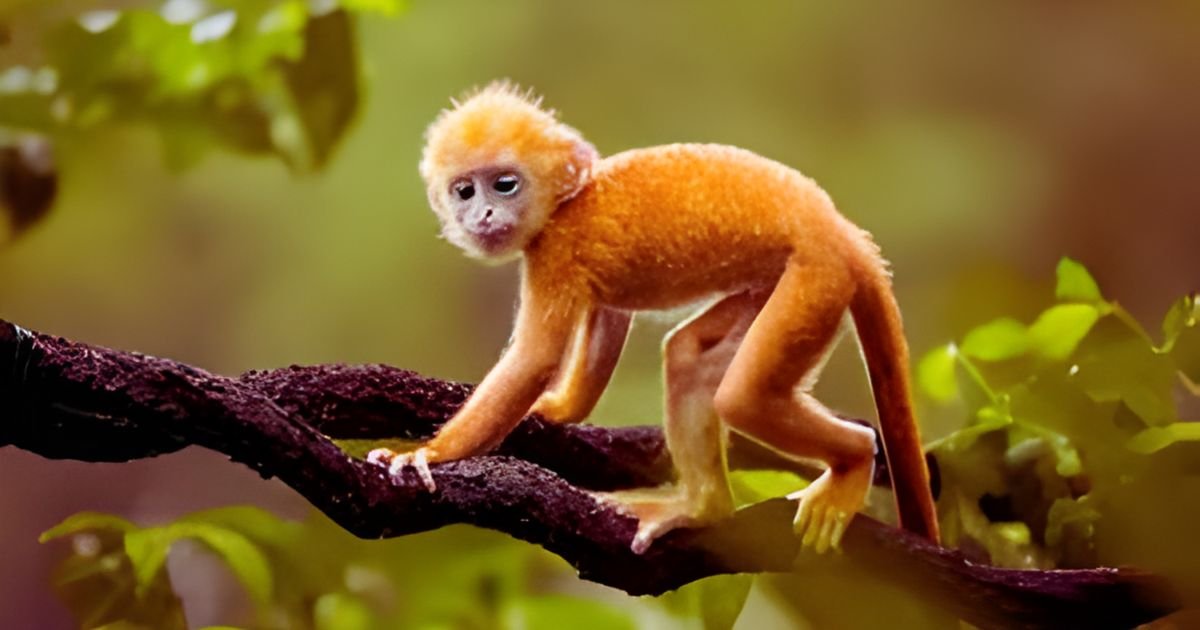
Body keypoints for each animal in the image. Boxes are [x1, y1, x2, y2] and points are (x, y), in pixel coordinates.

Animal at [367, 81, 940, 554]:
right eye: (465, 190)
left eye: (504, 185)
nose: (481, 214)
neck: (568, 202)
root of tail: (841, 230)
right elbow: (607, 319)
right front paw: (556, 409)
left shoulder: (555, 252)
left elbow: (534, 360)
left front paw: (429, 455)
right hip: (785, 284)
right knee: (689, 357)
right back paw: (704, 507)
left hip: (816, 279)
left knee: (745, 396)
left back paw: (855, 460)